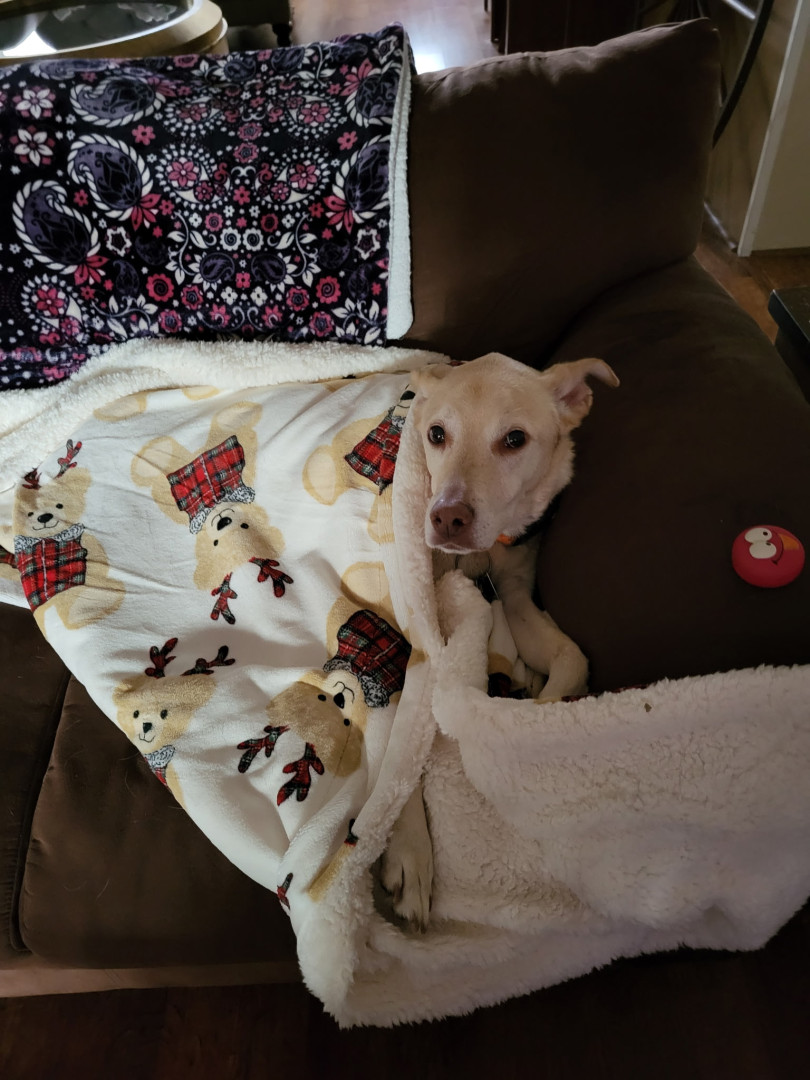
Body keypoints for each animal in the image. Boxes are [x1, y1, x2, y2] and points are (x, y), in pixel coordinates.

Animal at [380, 352, 619, 929]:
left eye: (514, 439)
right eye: (436, 434)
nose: (446, 517)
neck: (477, 558)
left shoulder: (514, 597)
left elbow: (571, 659)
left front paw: (532, 720)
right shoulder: (409, 627)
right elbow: (403, 750)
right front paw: (410, 852)